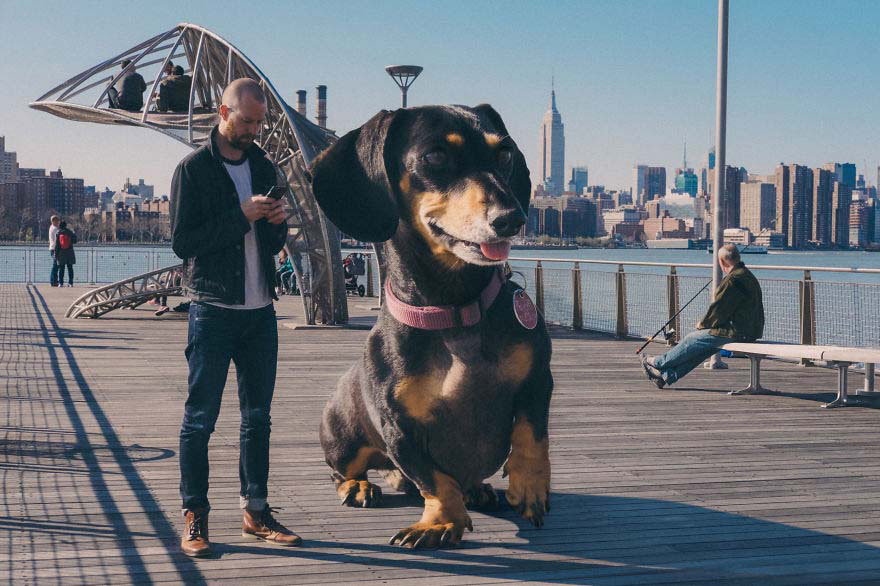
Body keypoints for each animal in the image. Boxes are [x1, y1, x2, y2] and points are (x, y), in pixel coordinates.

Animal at [312, 105, 552, 548]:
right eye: (436, 156)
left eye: (505, 154)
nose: (512, 218)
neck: (453, 311)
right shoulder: (397, 426)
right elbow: (434, 479)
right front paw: (441, 522)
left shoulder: (538, 379)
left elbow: (531, 434)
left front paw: (529, 487)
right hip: (343, 439)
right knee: (344, 471)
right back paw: (359, 487)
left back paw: (477, 488)